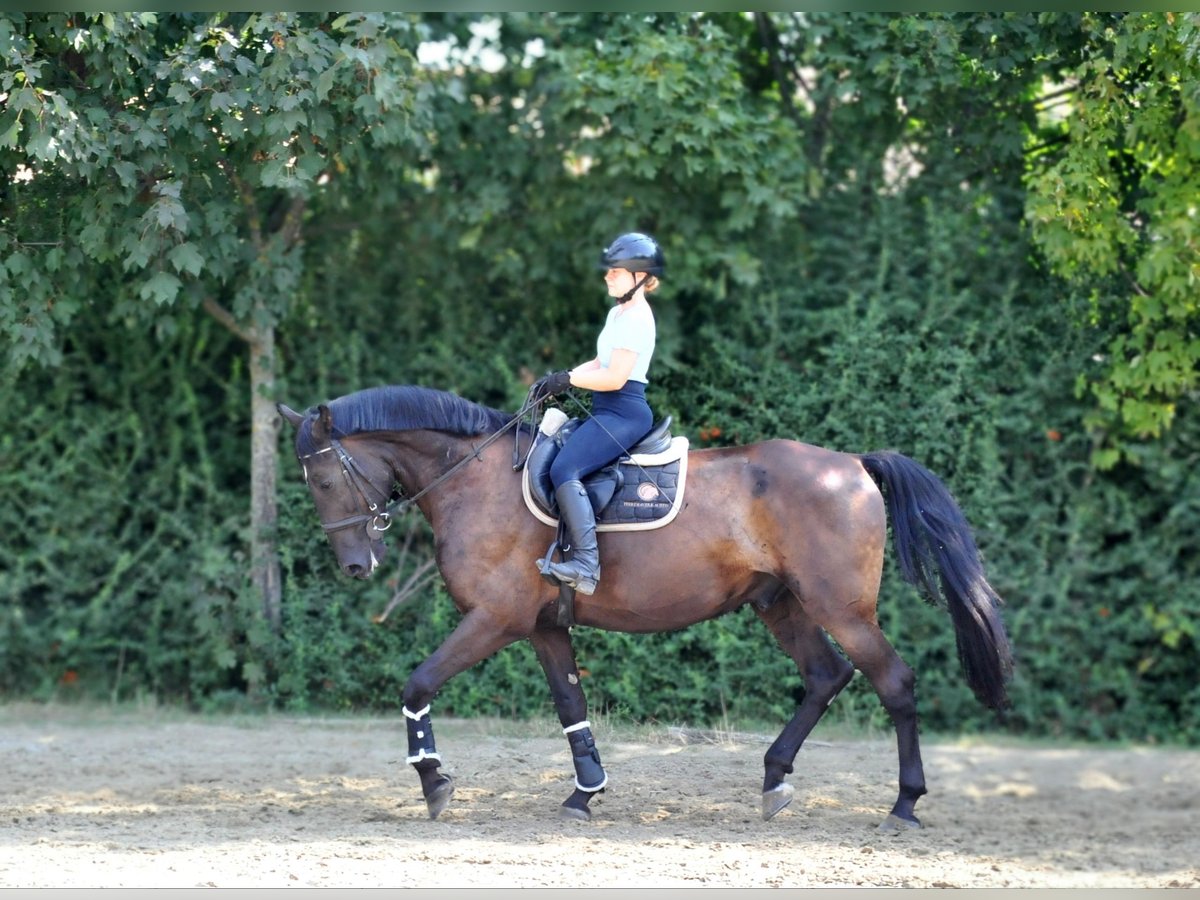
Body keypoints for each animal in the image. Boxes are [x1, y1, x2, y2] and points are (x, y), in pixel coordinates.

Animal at [276, 384, 1008, 830]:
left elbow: (418, 683)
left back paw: (905, 803)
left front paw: (433, 782)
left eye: (321, 479)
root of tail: (852, 465)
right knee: (827, 677)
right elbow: (572, 707)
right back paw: (774, 781)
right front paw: (585, 792)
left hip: (842, 608)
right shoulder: (544, 628)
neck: (475, 480)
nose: (356, 566)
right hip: (782, 604)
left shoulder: (494, 620)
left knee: (895, 683)